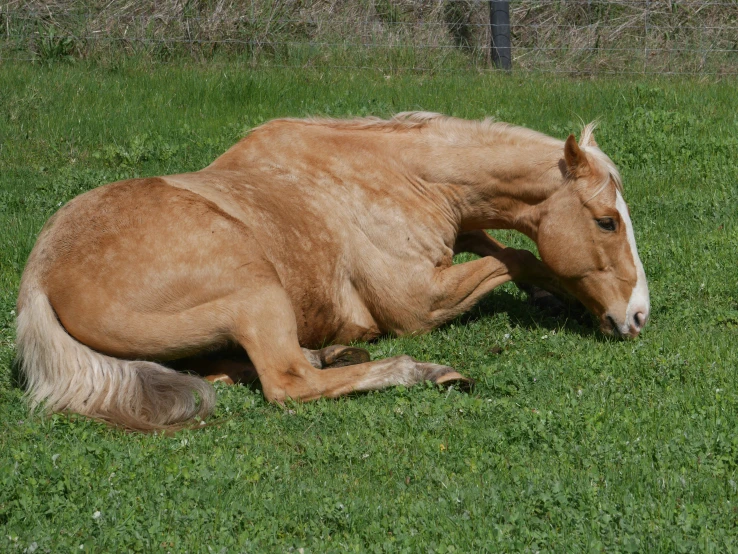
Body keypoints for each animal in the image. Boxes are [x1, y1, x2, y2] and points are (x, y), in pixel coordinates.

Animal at [15, 112, 648, 430]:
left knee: (233, 370)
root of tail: (41, 276)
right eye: (606, 221)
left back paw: (338, 352)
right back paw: (418, 371)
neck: (402, 176)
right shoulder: (418, 303)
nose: (638, 316)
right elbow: (516, 258)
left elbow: (503, 250)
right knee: (287, 382)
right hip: (257, 292)